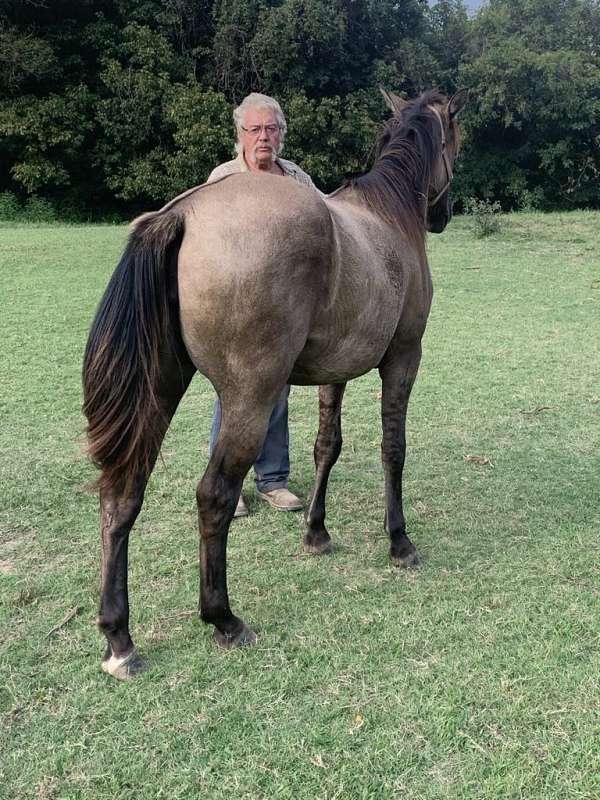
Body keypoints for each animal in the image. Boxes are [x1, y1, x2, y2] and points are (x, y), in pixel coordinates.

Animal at [83, 87, 468, 680]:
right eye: (455, 141)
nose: (444, 214)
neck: (387, 218)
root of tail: (183, 214)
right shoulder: (404, 358)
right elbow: (393, 447)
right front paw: (399, 540)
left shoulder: (337, 373)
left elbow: (326, 446)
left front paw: (317, 532)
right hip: (251, 398)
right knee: (213, 495)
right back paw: (223, 618)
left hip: (160, 394)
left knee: (123, 495)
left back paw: (119, 637)